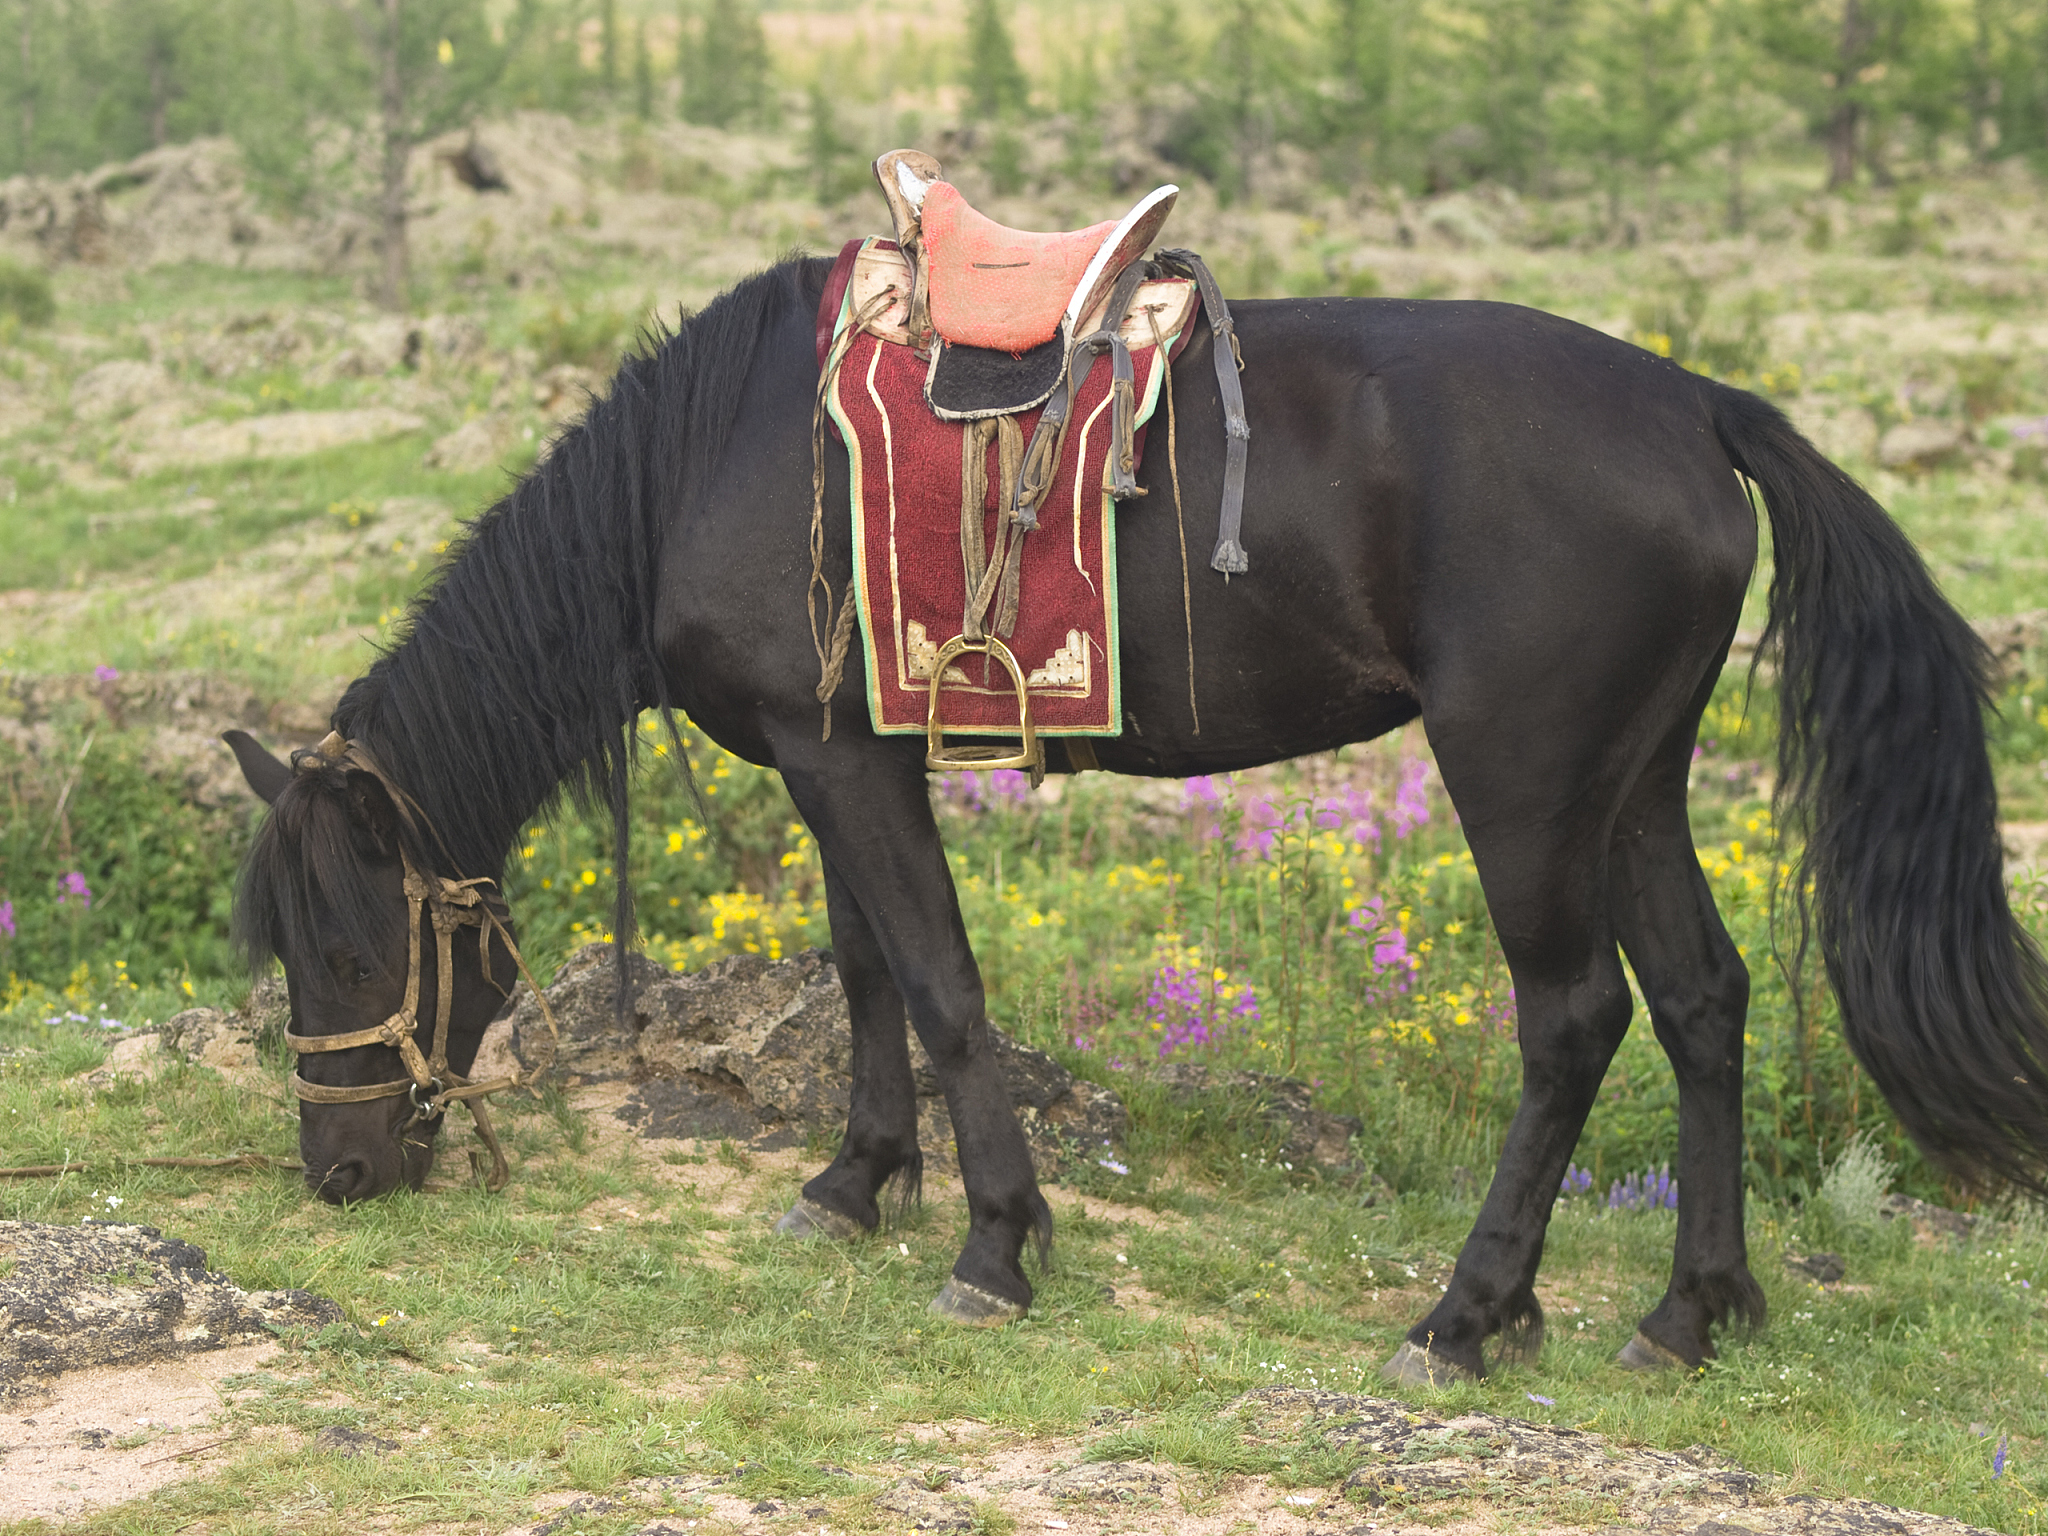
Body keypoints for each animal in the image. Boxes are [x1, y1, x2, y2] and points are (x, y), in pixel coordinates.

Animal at [224, 253, 2048, 1383]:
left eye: (344, 948)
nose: (338, 1172)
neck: (716, 462)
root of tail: (1694, 403)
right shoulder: (839, 759)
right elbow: (865, 971)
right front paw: (853, 1182)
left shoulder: (844, 759)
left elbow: (940, 987)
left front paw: (993, 1244)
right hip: (1636, 786)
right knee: (1702, 1001)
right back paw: (1691, 1311)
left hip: (1525, 780)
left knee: (1572, 1019)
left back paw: (1464, 1318)